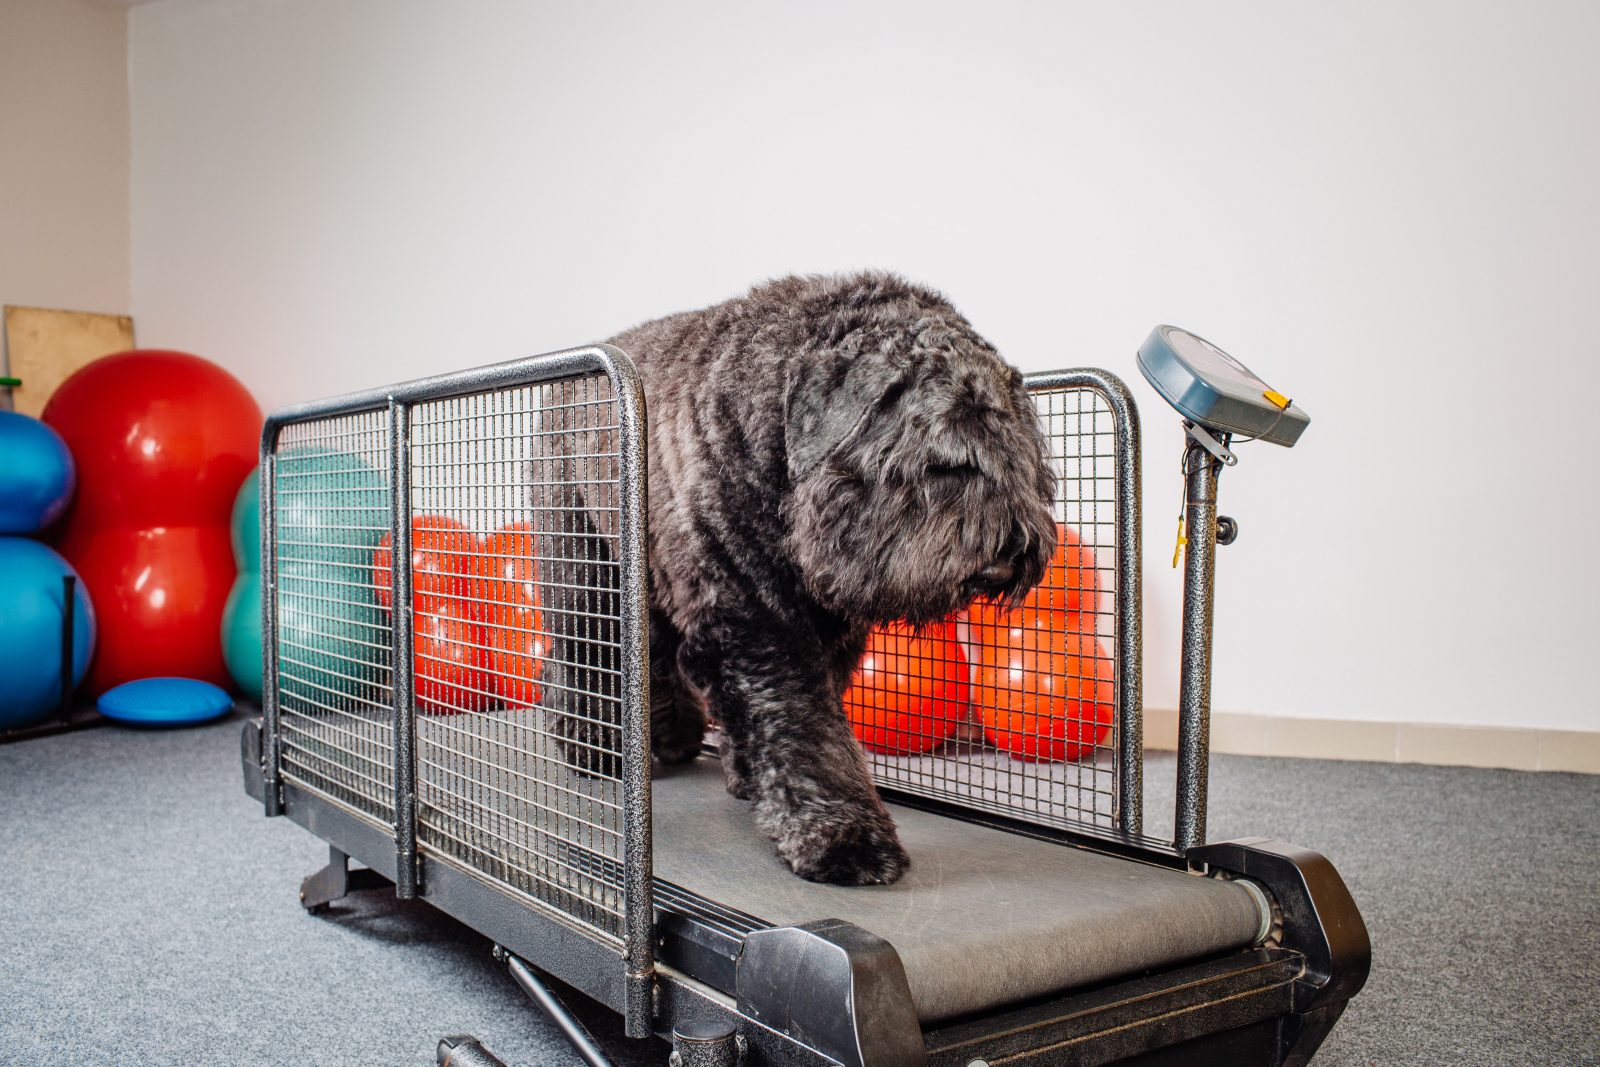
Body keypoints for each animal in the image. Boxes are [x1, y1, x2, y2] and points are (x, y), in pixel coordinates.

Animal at [544, 273, 1056, 883]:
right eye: (942, 460)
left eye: (1023, 462)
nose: (1003, 562)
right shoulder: (758, 617)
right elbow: (802, 720)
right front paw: (843, 836)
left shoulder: (826, 623)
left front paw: (752, 777)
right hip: (589, 561)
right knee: (588, 647)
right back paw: (592, 744)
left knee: (659, 654)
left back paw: (667, 735)